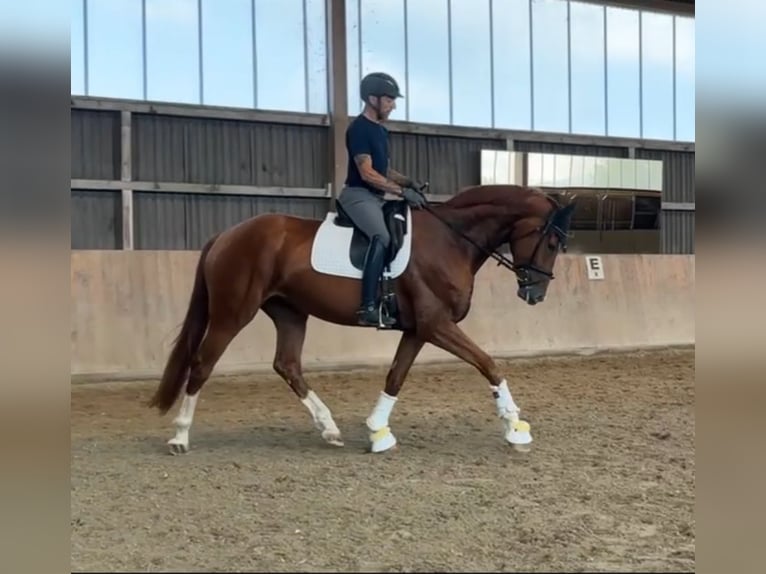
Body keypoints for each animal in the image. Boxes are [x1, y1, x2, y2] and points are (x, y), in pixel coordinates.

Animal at [148, 183, 576, 454]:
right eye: (552, 241)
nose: (535, 294)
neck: (450, 239)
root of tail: (226, 235)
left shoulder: (419, 329)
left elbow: (395, 377)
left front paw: (377, 432)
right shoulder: (437, 325)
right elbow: (488, 363)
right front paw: (514, 427)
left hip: (290, 313)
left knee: (287, 364)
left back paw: (329, 429)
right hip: (232, 313)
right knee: (203, 363)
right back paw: (180, 438)